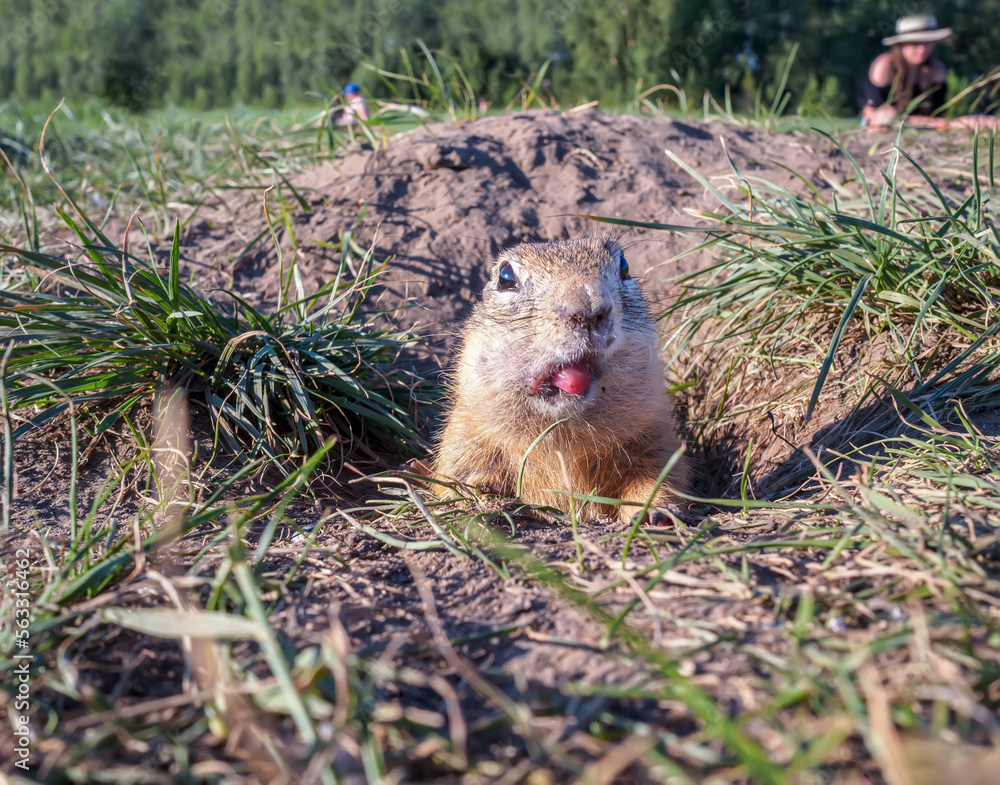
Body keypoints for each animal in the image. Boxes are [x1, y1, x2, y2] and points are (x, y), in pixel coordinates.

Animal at [434, 237, 692, 520]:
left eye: (624, 265)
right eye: (505, 277)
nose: (589, 308)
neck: (562, 436)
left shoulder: (656, 438)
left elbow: (658, 475)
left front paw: (653, 511)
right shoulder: (467, 438)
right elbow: (456, 479)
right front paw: (482, 500)